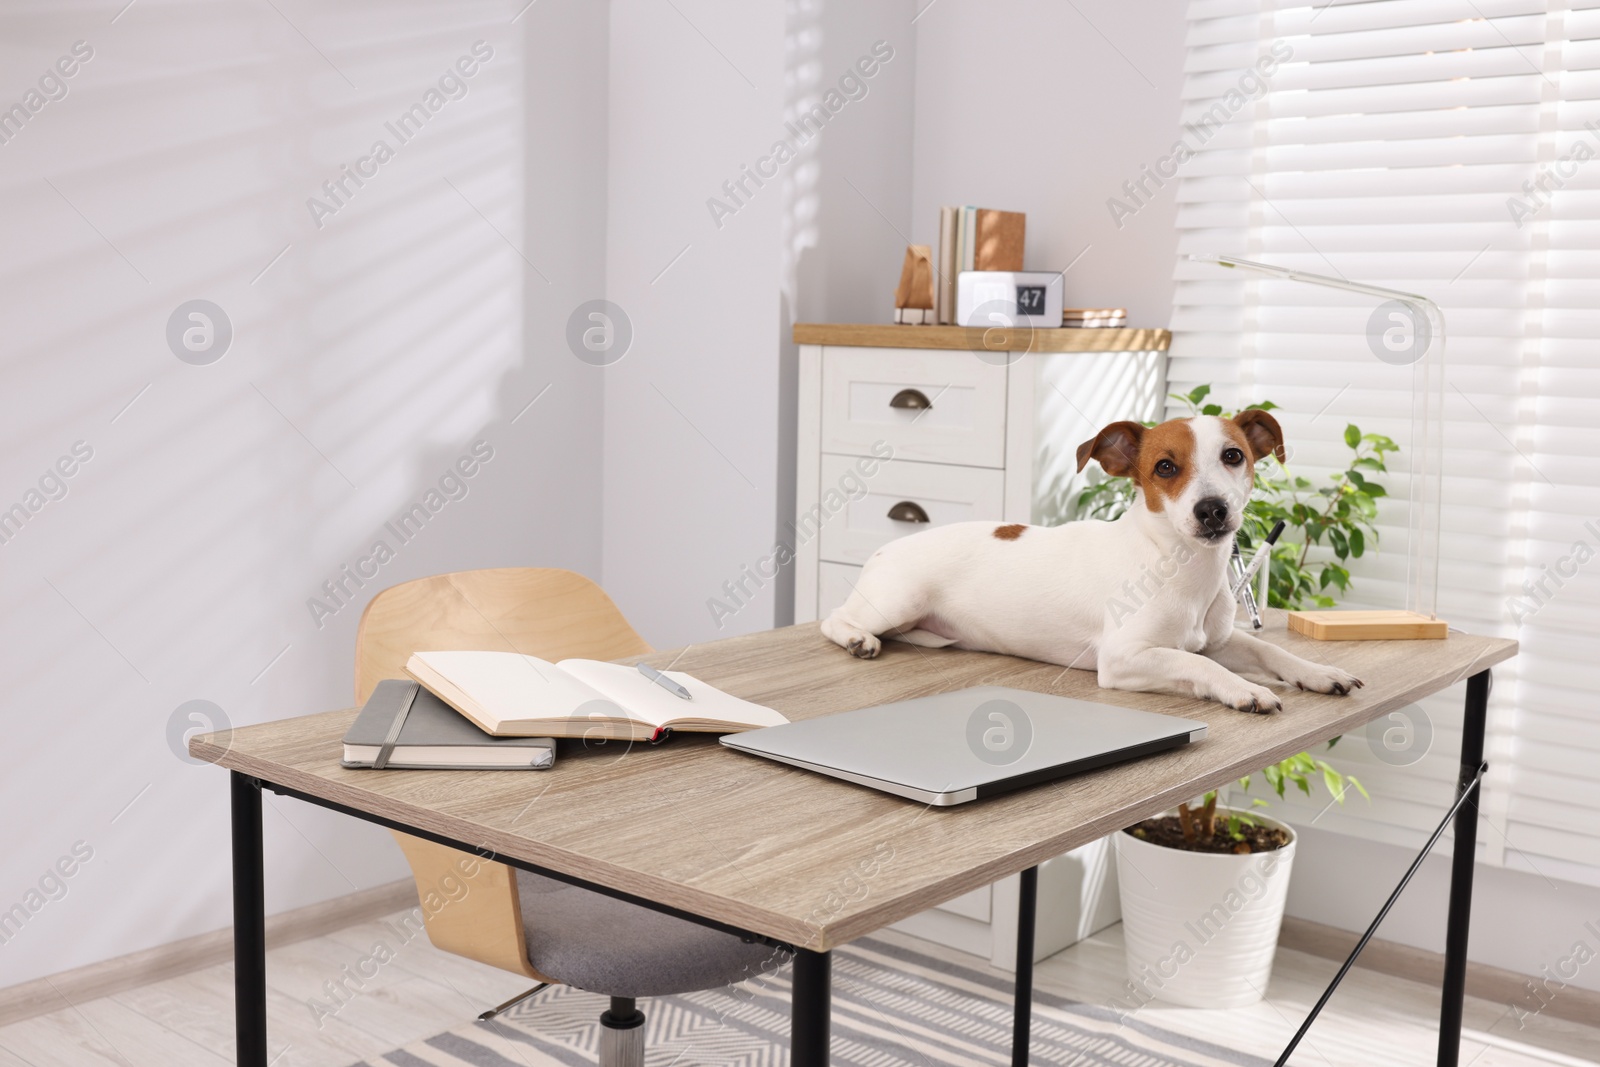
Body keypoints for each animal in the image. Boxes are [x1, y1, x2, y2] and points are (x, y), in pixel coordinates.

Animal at [825, 412, 1363, 713]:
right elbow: (1197, 664)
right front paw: (1242, 689)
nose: (1212, 510)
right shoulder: (1124, 658)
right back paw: (857, 639)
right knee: (836, 618)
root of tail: (886, 549)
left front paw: (1318, 672)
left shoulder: (1220, 640)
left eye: (1234, 456)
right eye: (1164, 467)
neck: (1180, 566)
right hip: (897, 600)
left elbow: (1269, 651)